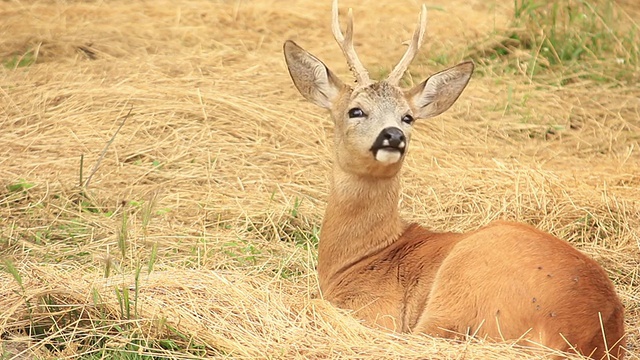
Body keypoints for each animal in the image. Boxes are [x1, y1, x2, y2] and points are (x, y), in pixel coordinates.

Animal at [284, 1, 624, 358]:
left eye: (408, 117)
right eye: (356, 110)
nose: (393, 135)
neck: (359, 257)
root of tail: (584, 337)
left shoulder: (376, 309)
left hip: (463, 280)